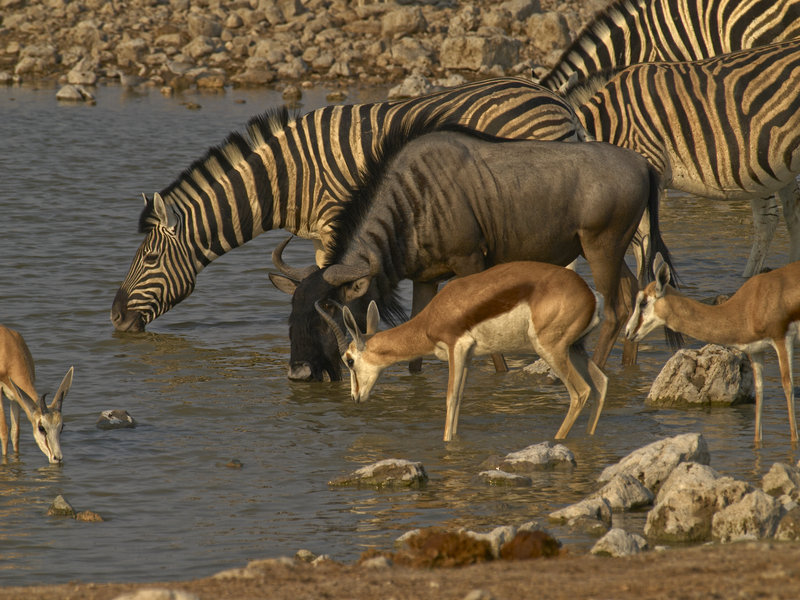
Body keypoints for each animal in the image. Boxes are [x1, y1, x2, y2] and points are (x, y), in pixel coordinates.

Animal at [110, 77, 585, 334]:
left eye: (149, 258)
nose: (114, 317)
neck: (286, 179)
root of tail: (555, 99)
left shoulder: (335, 221)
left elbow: (329, 284)